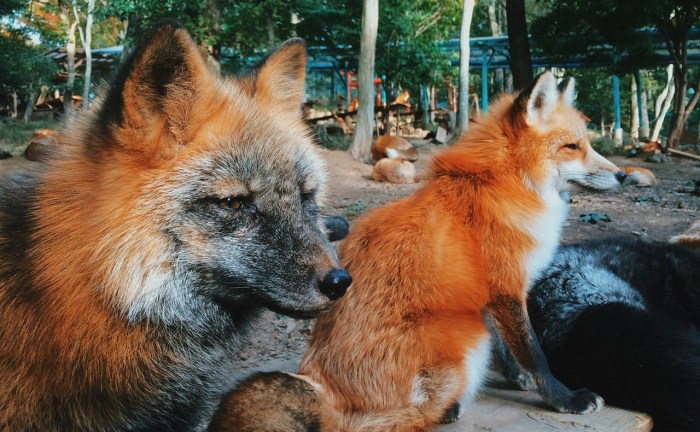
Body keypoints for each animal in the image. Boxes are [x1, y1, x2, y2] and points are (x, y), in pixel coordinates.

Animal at [291, 73, 626, 431]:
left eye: (588, 144)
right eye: (572, 147)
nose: (623, 174)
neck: (504, 184)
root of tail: (323, 392)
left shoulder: (486, 295)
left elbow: (508, 349)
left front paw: (518, 378)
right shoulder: (506, 288)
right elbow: (534, 353)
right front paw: (563, 398)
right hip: (467, 335)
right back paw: (450, 406)